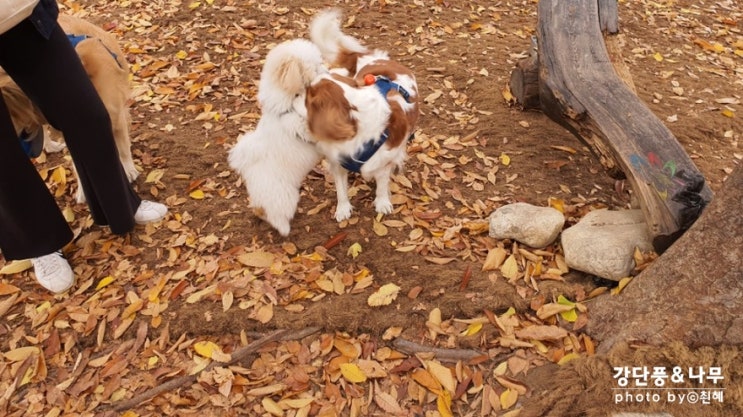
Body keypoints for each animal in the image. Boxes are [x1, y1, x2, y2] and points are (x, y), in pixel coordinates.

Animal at [228, 40, 324, 236]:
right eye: (315, 66)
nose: (326, 67)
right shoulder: (301, 125)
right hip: (284, 199)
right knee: (277, 218)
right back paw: (285, 230)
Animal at [304, 8, 418, 221]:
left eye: (307, 96)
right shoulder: (338, 162)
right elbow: (341, 189)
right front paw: (342, 209)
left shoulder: (383, 161)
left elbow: (382, 184)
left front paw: (382, 202)